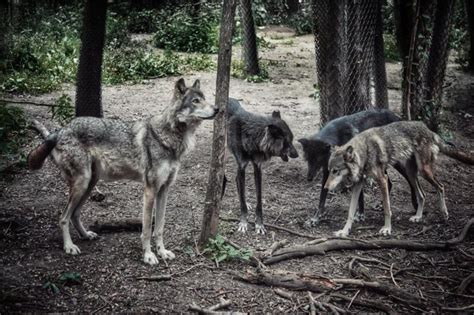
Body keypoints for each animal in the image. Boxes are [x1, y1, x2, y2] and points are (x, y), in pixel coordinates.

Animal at [27, 78, 217, 266]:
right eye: (196, 101)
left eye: (204, 98)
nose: (217, 109)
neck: (170, 138)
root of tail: (62, 129)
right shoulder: (150, 191)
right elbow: (147, 230)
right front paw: (148, 256)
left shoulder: (164, 190)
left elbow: (159, 228)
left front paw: (162, 252)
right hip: (82, 183)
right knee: (63, 217)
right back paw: (69, 246)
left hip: (90, 184)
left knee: (74, 214)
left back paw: (86, 235)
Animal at [228, 99, 298, 235]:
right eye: (287, 142)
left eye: (292, 140)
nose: (297, 155)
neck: (251, 136)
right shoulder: (242, 166)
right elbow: (243, 201)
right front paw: (243, 222)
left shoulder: (257, 168)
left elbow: (259, 199)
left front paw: (259, 224)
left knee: (236, 180)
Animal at [326, 121, 474, 237]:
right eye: (329, 170)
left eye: (335, 171)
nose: (326, 188)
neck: (365, 152)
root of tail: (428, 129)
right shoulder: (358, 185)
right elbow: (350, 212)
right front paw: (344, 231)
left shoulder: (383, 180)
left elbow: (387, 209)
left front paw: (387, 229)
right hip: (411, 174)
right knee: (422, 195)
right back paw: (418, 217)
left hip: (423, 172)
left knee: (441, 186)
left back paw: (444, 213)